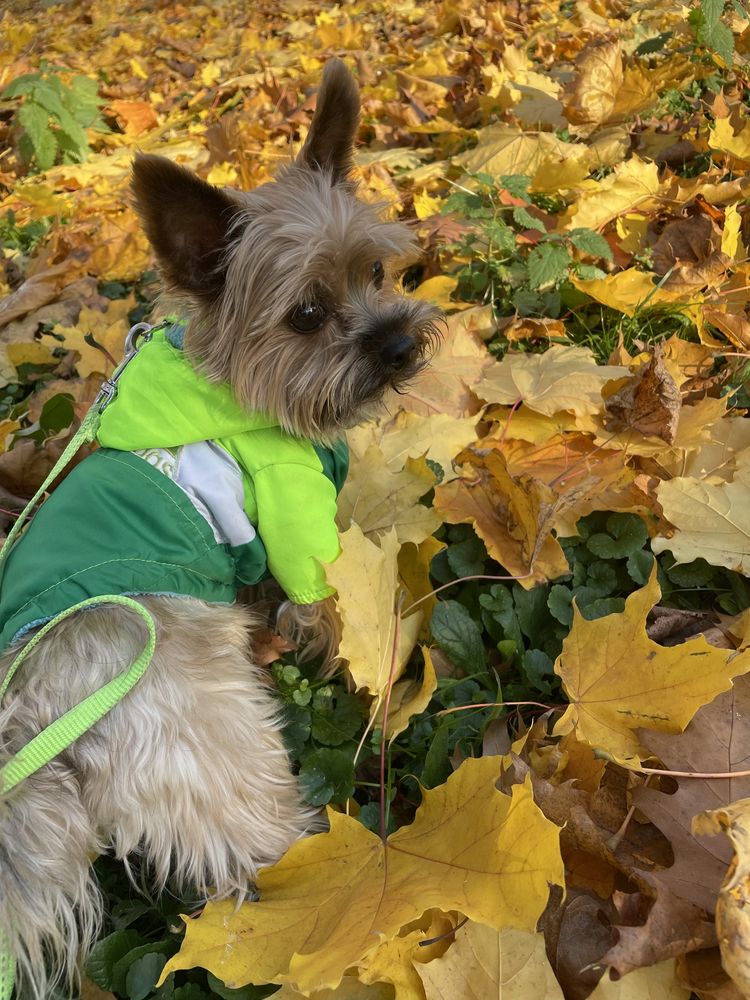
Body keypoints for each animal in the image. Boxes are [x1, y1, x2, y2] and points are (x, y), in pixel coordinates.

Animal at [0, 58, 440, 996]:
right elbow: (327, 598)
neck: (230, 385)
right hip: (217, 757)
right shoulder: (297, 516)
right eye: (304, 314)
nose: (398, 347)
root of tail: (36, 720)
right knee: (258, 860)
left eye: (378, 273)